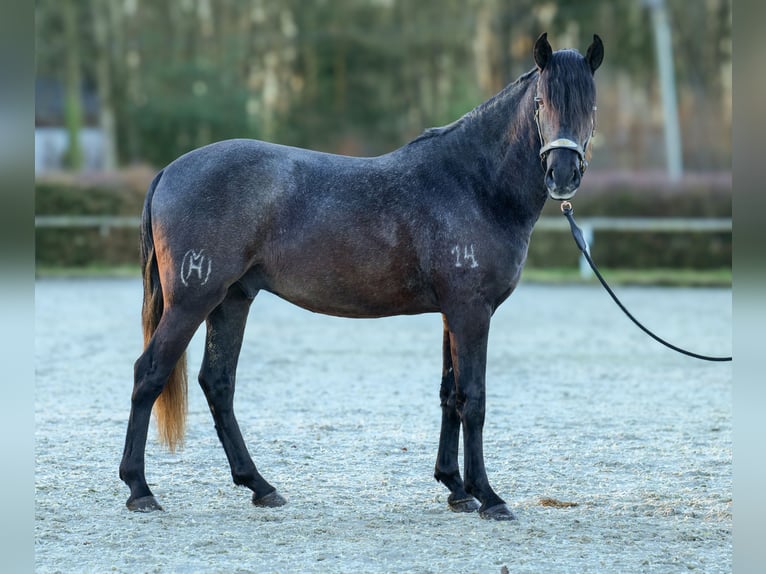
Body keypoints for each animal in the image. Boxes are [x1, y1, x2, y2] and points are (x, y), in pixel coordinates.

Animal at [118, 33, 608, 524]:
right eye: (542, 103)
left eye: (592, 106)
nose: (563, 175)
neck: (473, 184)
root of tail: (168, 172)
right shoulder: (472, 312)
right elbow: (474, 398)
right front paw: (488, 496)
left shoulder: (452, 314)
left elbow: (449, 394)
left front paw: (455, 488)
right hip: (192, 301)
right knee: (150, 373)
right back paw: (140, 489)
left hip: (232, 299)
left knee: (218, 383)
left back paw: (260, 486)